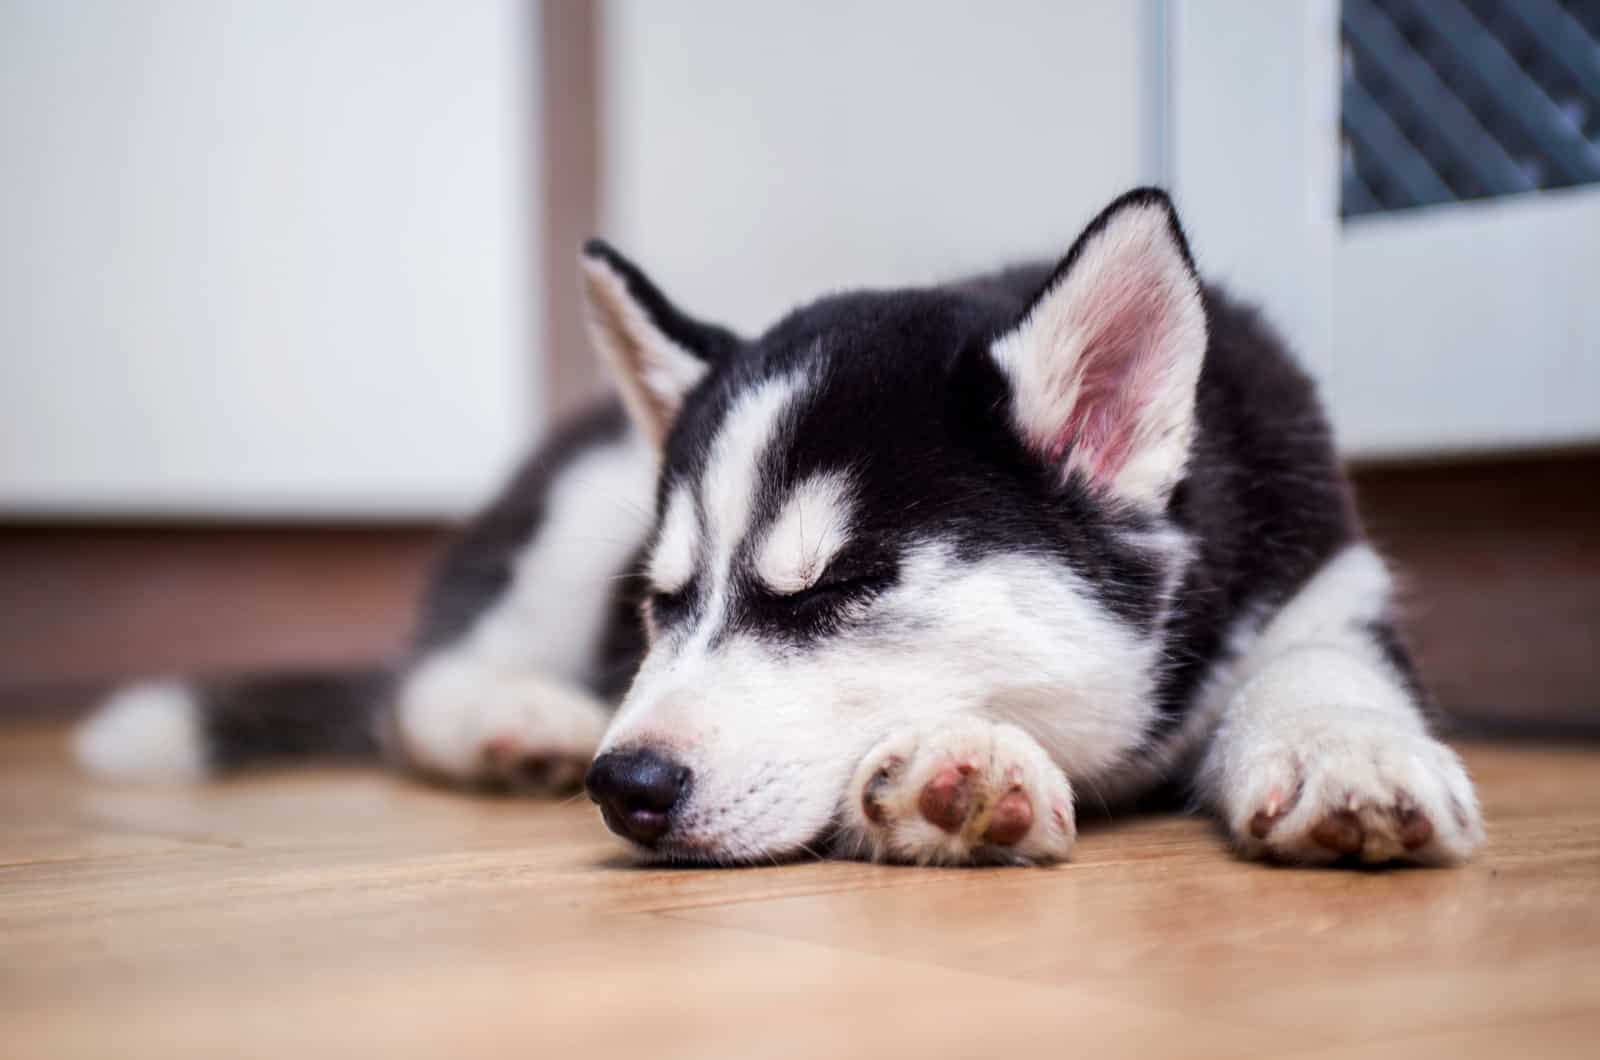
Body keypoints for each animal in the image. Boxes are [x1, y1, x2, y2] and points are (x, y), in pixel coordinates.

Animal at [75, 191, 1478, 871]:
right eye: (659, 601)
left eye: (839, 586)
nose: (627, 784)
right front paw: (952, 767)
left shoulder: (1321, 574)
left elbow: (1323, 668)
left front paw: (1349, 755)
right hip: (578, 505)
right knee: (417, 687)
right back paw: (515, 721)